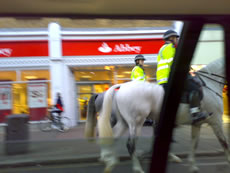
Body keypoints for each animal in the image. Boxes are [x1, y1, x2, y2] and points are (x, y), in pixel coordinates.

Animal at [85, 58, 230, 172]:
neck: (209, 84)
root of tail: (120, 87)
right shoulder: (216, 121)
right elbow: (224, 143)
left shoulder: (197, 124)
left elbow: (194, 144)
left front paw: (192, 166)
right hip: (135, 123)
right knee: (130, 144)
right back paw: (136, 168)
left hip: (124, 123)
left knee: (112, 136)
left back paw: (110, 161)